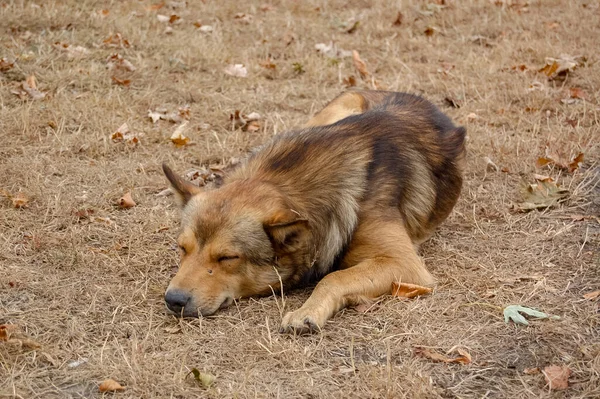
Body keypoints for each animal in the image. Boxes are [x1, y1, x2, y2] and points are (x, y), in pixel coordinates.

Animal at [162, 90, 466, 334]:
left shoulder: (405, 265)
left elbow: (334, 278)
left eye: (227, 258)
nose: (173, 300)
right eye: (182, 249)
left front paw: (306, 312)